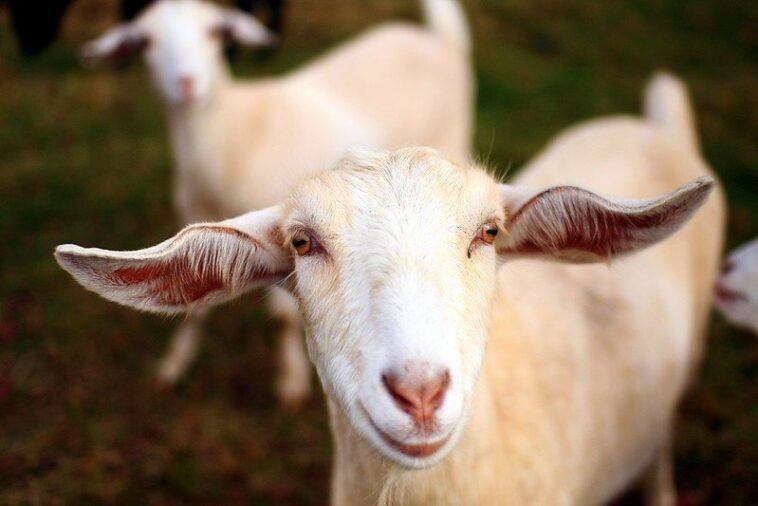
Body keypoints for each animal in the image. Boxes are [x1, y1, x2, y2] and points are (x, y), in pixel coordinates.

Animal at [81, 0, 472, 406]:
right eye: (145, 41)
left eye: (216, 32)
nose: (187, 84)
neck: (236, 132)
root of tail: (439, 41)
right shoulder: (197, 216)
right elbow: (195, 302)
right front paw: (173, 365)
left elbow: (283, 320)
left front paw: (290, 383)